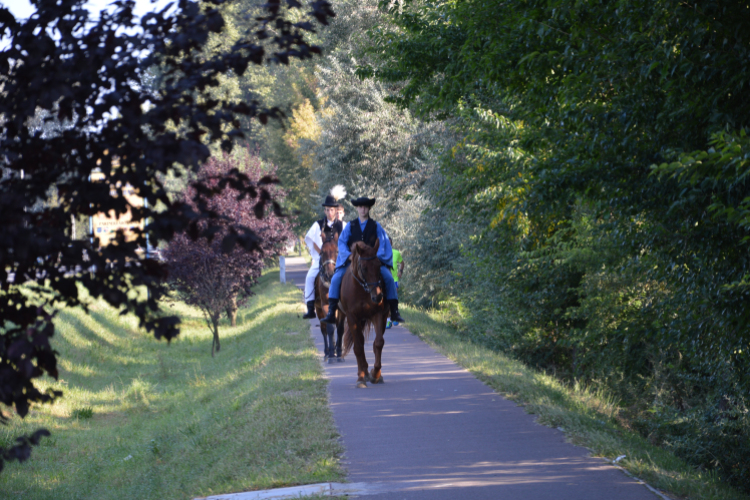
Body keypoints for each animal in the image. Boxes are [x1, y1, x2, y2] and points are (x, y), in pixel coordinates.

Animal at [312, 232, 346, 362]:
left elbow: (340, 328)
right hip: (319, 309)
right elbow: (330, 328)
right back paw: (327, 352)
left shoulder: (341, 309)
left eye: (337, 251)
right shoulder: (325, 305)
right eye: (322, 252)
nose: (330, 274)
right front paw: (331, 354)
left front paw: (339, 352)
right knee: (324, 328)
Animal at [340, 237, 388, 386]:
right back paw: (363, 373)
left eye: (379, 265)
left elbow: (378, 342)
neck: (361, 290)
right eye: (364, 268)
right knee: (359, 343)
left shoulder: (378, 314)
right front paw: (361, 378)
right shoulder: (352, 317)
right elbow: (358, 347)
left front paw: (375, 374)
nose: (377, 296)